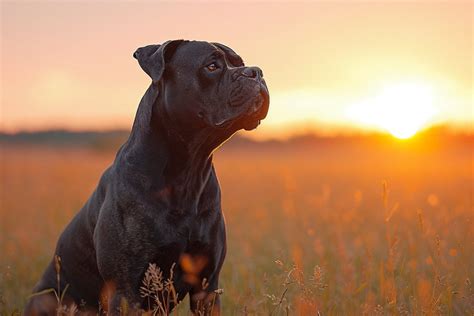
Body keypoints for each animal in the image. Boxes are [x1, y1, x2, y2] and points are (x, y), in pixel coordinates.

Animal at [24, 40, 268, 314]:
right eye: (212, 66)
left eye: (240, 63)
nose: (256, 72)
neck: (186, 171)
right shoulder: (125, 289)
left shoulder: (206, 285)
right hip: (50, 299)